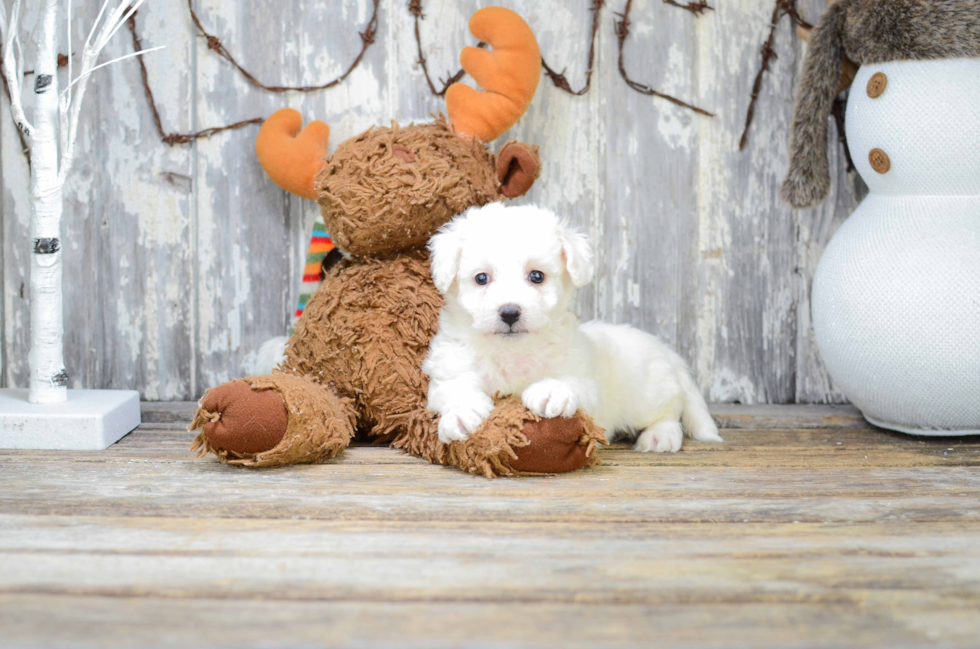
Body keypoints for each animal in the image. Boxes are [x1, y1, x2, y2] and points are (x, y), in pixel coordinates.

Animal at [424, 202, 724, 450]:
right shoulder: (448, 368)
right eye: (481, 278)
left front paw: (551, 390)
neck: (513, 350)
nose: (509, 312)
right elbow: (451, 387)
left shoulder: (587, 385)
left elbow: (573, 384)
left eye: (536, 276)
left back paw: (660, 436)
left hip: (648, 393)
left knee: (670, 409)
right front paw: (462, 412)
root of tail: (665, 350)